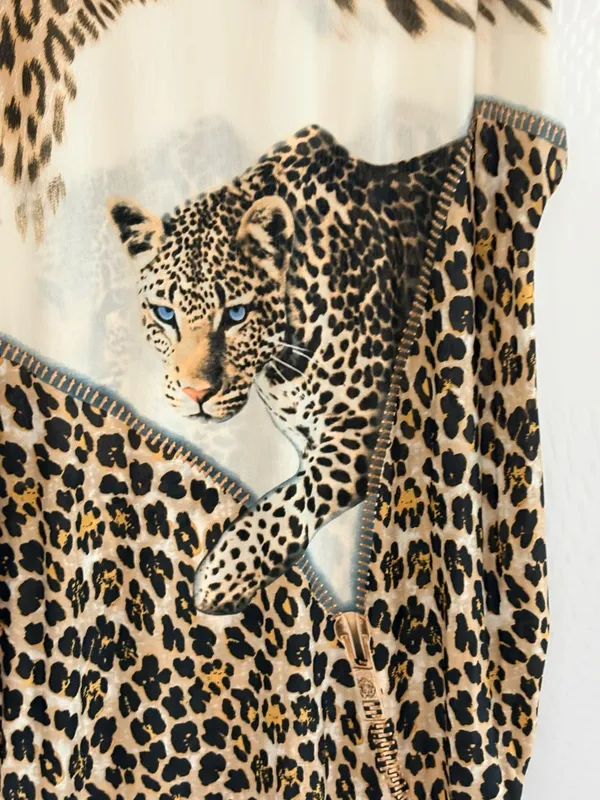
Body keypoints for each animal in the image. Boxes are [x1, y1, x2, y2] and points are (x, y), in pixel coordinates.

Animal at [108, 125, 460, 614]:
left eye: (236, 314)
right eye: (164, 314)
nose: (197, 394)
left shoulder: (355, 437)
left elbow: (290, 504)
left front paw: (219, 578)